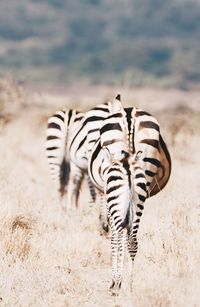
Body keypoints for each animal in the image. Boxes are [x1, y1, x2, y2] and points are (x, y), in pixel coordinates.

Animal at [88, 95, 171, 296]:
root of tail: (129, 115)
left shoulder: (110, 198)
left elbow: (115, 237)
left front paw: (116, 280)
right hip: (141, 189)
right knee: (132, 239)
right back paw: (130, 284)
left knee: (118, 234)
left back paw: (116, 283)